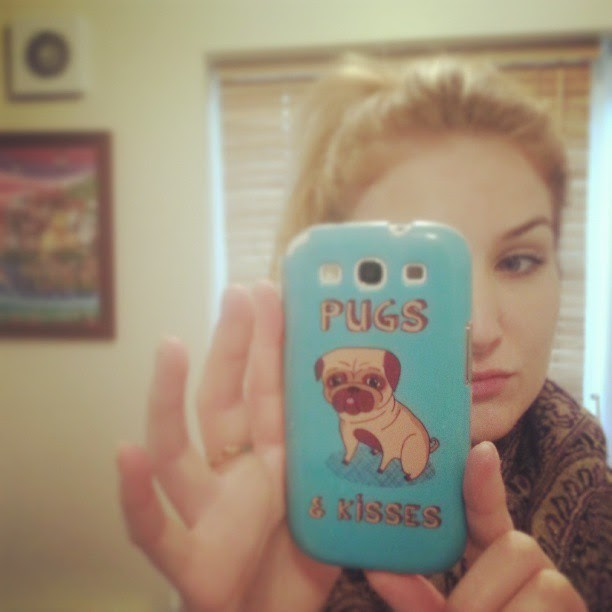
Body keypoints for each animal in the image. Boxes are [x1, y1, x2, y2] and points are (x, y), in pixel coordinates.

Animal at [315, 347, 439, 481]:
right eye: (336, 381)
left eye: (374, 382)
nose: (353, 388)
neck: (366, 418)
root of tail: (429, 447)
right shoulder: (348, 435)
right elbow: (350, 450)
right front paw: (346, 460)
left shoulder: (390, 445)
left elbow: (385, 459)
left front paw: (380, 470)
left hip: (410, 450)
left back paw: (408, 477)